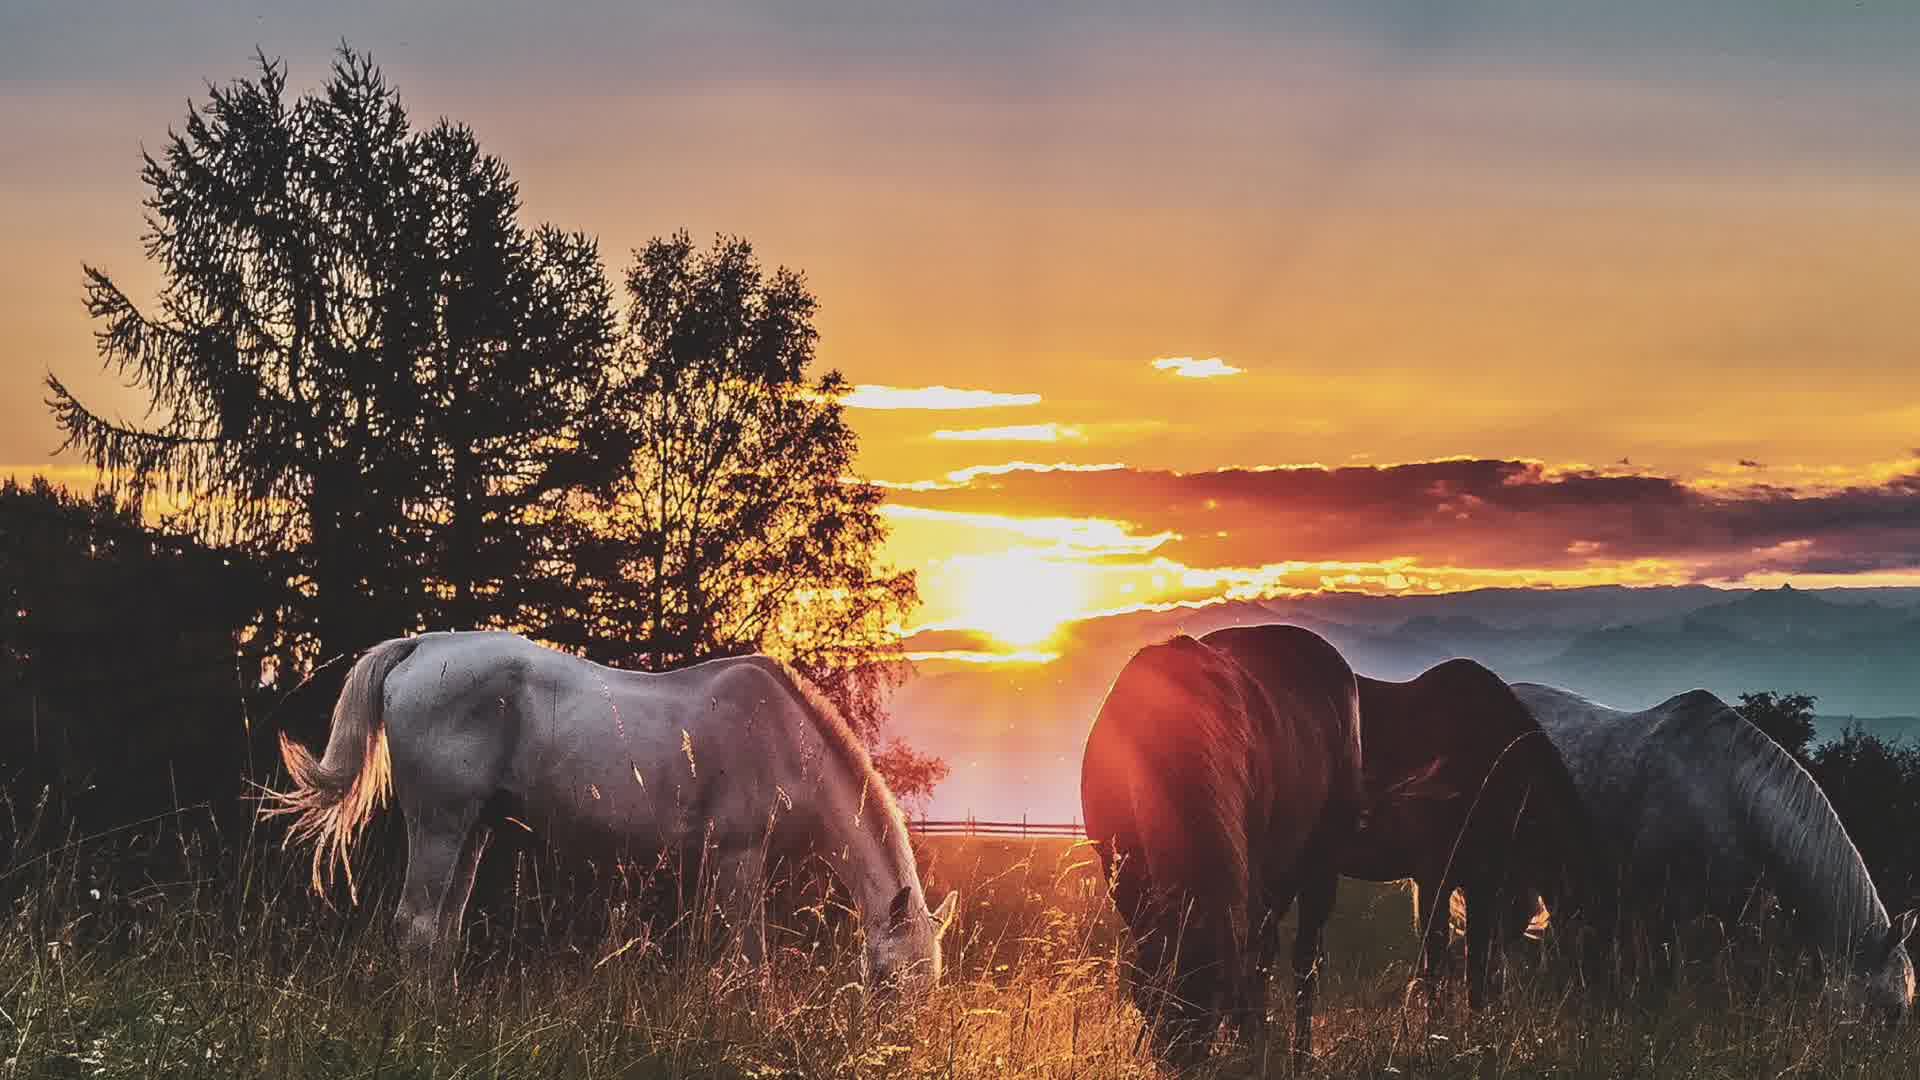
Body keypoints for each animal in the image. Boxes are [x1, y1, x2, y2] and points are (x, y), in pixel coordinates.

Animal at [266, 626, 956, 991]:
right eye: (891, 983)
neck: (785, 738)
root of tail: (422, 646)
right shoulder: (738, 858)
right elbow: (748, 960)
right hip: (439, 823)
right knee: (416, 924)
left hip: (473, 830)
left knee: (441, 931)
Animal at [1082, 626, 1367, 1053]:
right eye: (1153, 1000)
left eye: (1215, 1001)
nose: (1179, 1058)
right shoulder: (1126, 877)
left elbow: (1253, 964)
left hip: (1320, 867)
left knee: (1302, 962)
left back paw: (1295, 1049)